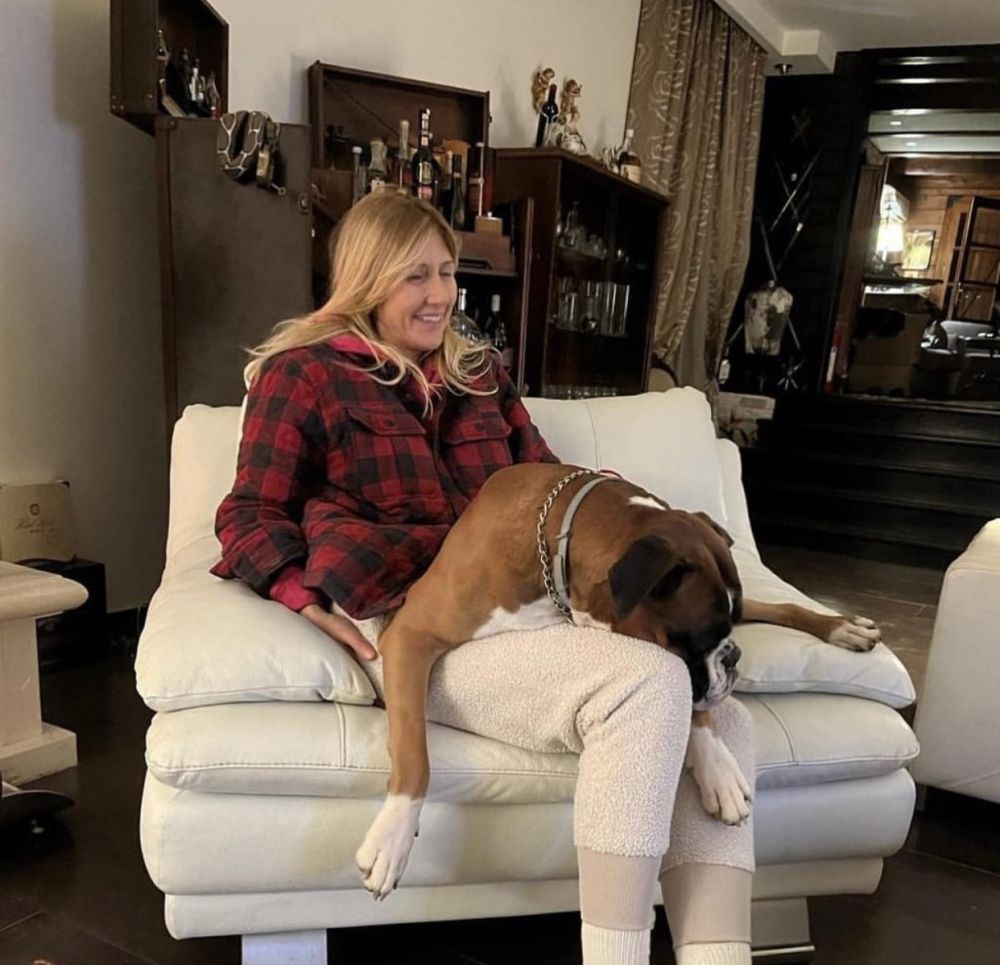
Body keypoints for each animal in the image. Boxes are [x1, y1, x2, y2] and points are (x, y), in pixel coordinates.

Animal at [355, 463, 881, 899]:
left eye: (724, 633)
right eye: (699, 637)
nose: (733, 656)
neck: (555, 551)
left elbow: (698, 707)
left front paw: (717, 769)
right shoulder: (409, 635)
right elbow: (414, 750)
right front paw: (392, 837)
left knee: (777, 606)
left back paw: (843, 627)